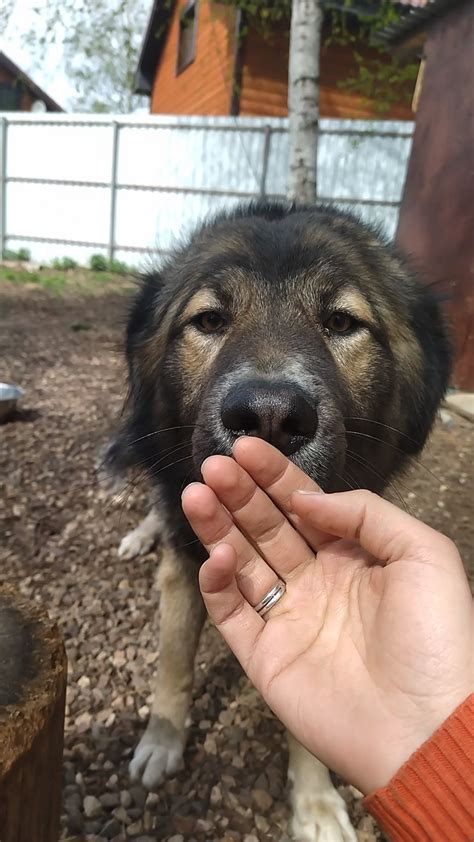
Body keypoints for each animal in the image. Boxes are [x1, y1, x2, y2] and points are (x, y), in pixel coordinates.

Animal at [108, 203, 452, 840]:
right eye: (209, 319)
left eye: (341, 321)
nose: (269, 415)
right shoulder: (186, 556)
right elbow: (174, 661)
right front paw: (161, 740)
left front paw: (314, 800)